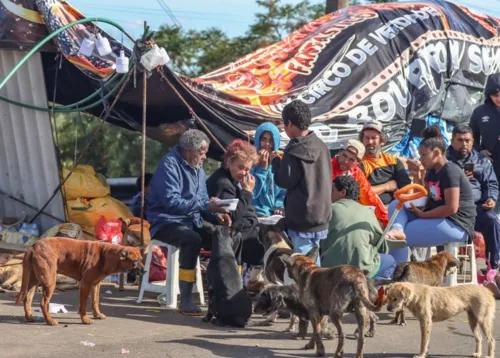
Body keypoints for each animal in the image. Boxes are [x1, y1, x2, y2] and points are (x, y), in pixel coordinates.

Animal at [16, 236, 144, 326]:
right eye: (135, 261)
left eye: (142, 259)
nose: (145, 270)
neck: (107, 255)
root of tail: (33, 246)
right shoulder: (85, 284)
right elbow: (84, 304)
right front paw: (85, 319)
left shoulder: (95, 285)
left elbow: (95, 302)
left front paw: (97, 314)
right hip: (50, 282)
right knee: (43, 303)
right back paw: (49, 321)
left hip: (33, 282)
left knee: (27, 299)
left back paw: (29, 317)